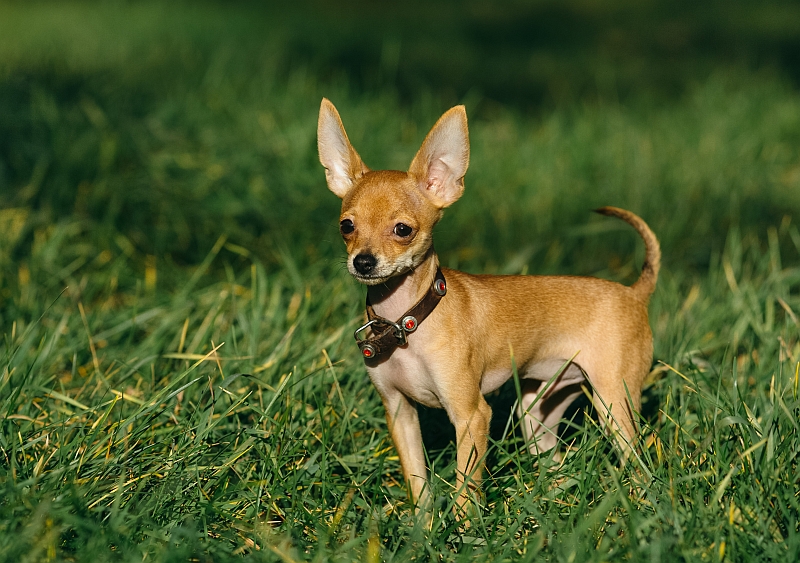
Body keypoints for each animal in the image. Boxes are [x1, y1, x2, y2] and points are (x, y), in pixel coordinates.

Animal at [316, 99, 660, 512]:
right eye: (346, 226)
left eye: (403, 230)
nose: (363, 262)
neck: (407, 320)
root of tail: (634, 292)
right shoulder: (400, 413)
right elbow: (419, 486)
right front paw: (423, 525)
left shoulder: (472, 416)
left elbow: (465, 491)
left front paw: (463, 528)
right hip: (537, 412)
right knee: (558, 465)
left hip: (615, 405)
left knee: (639, 465)